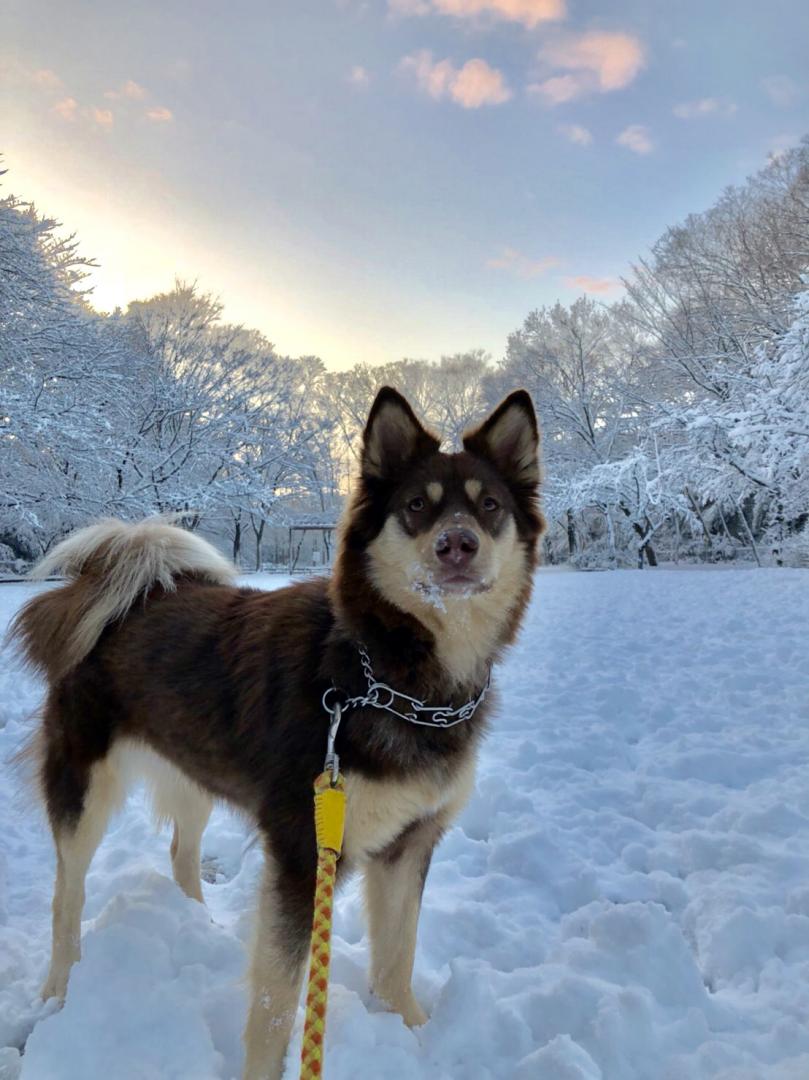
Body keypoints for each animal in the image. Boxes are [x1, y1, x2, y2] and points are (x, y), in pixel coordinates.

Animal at [12, 388, 542, 1080]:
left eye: (490, 506)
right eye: (416, 506)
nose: (458, 544)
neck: (389, 680)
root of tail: (112, 593)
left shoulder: (411, 842)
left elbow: (397, 957)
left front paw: (415, 1033)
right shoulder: (303, 850)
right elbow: (275, 1002)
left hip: (194, 768)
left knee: (180, 852)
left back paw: (198, 926)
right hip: (85, 787)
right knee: (66, 895)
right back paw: (57, 992)